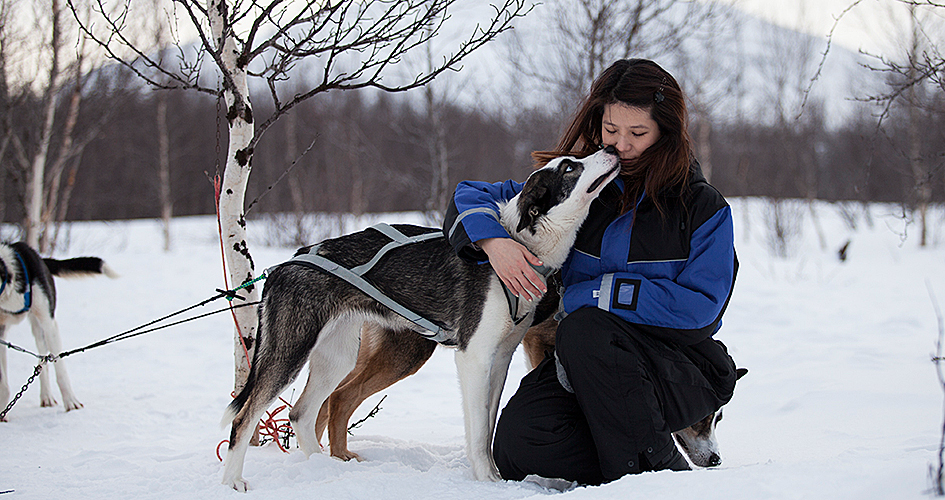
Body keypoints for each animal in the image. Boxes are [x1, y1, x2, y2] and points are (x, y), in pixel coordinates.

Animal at [0, 242, 117, 418]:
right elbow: (3, 382)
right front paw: (3, 412)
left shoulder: (49, 323)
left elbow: (60, 370)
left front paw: (71, 403)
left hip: (40, 326)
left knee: (43, 359)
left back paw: (47, 396)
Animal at [218, 146, 624, 490]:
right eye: (570, 167)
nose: (612, 149)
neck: (518, 245)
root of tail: (290, 261)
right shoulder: (474, 358)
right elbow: (479, 432)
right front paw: (486, 482)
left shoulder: (500, 359)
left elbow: (487, 426)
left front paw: (494, 477)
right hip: (291, 352)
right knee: (245, 416)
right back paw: (233, 482)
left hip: (337, 357)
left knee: (303, 414)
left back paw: (322, 467)